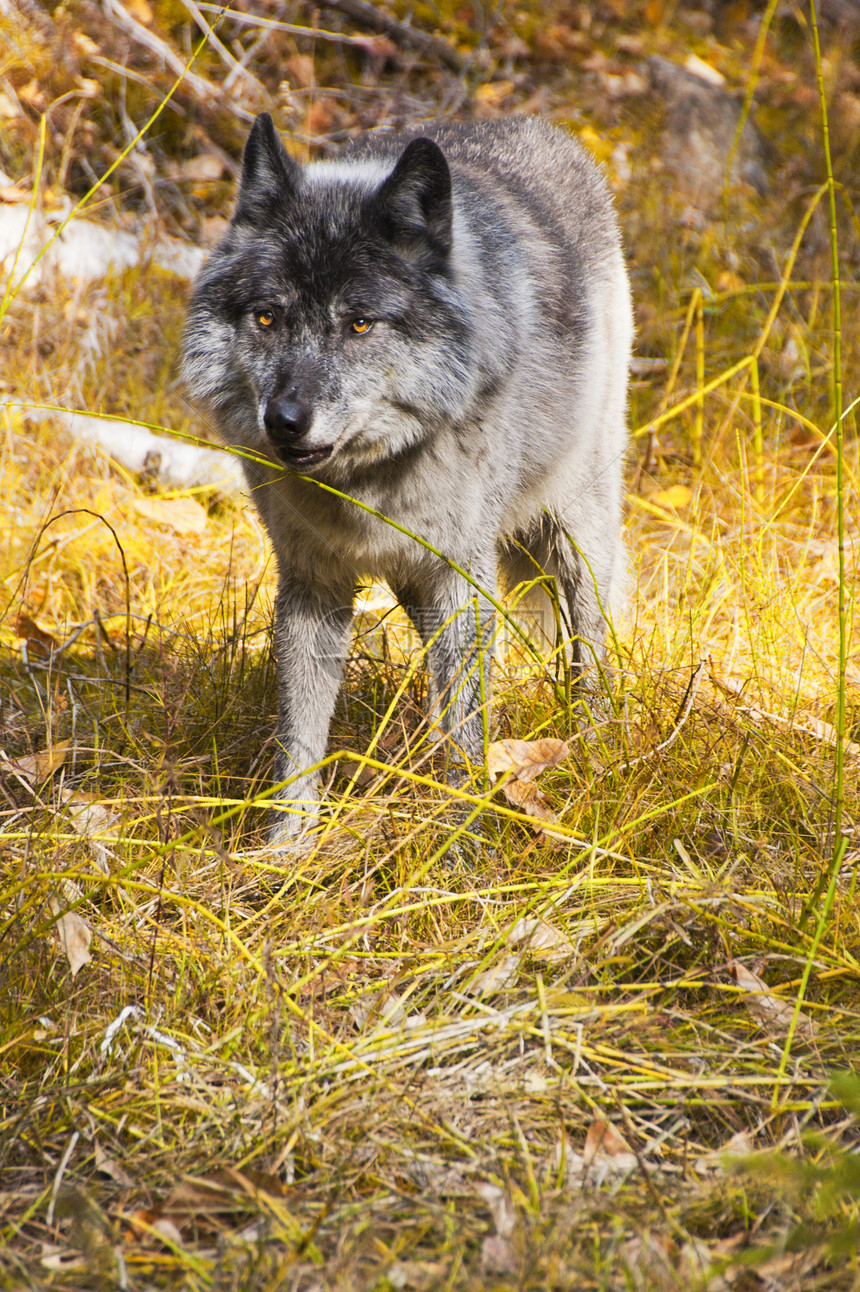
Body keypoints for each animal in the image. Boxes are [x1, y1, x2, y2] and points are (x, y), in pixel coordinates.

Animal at [180, 113, 630, 847]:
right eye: (268, 316)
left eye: (360, 323)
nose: (285, 421)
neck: (365, 482)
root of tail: (543, 129)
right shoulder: (313, 583)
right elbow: (299, 737)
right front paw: (285, 851)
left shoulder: (461, 579)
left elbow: (467, 730)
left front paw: (458, 843)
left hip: (574, 538)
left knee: (592, 648)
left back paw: (597, 750)